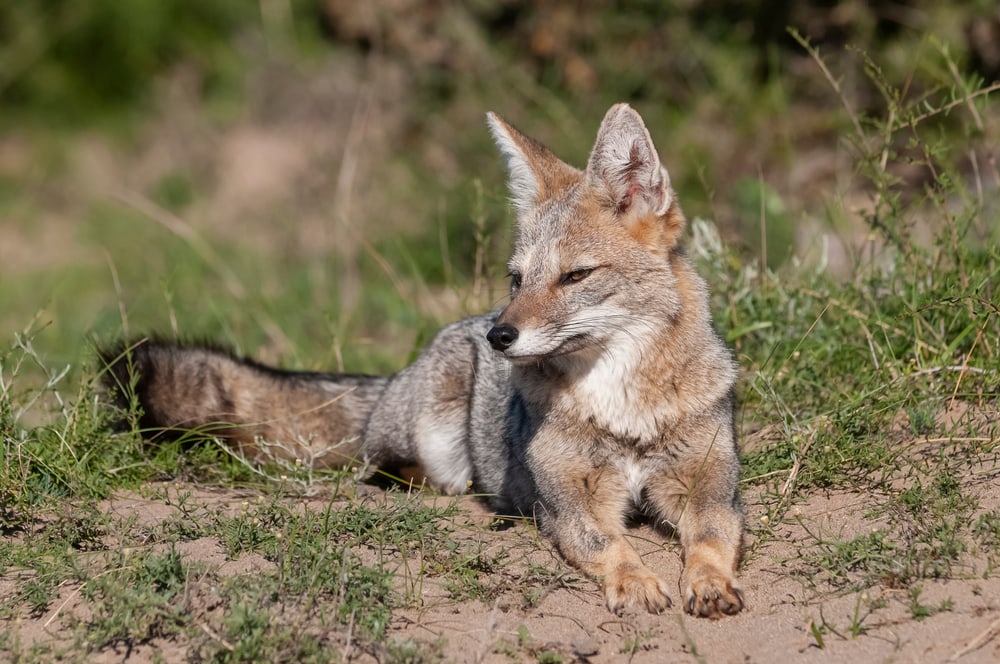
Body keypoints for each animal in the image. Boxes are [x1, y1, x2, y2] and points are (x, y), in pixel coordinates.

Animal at [102, 103, 745, 618]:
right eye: (517, 278)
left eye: (575, 276)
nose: (499, 335)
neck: (621, 408)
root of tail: (400, 370)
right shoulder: (569, 501)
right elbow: (606, 544)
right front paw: (635, 581)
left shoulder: (710, 485)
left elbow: (714, 538)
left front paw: (710, 583)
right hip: (431, 434)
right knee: (381, 467)